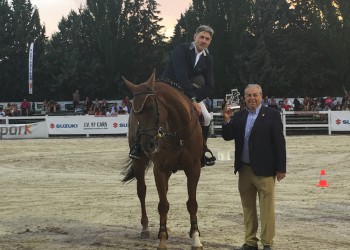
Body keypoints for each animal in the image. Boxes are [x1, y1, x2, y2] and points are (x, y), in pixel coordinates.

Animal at [122, 71, 204, 249]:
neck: (177, 133)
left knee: (164, 192)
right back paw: (145, 228)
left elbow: (192, 203)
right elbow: (163, 205)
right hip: (140, 163)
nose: (147, 145)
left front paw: (195, 237)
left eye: (152, 107)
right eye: (136, 112)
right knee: (142, 191)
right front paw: (162, 239)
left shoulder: (194, 168)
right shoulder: (159, 169)